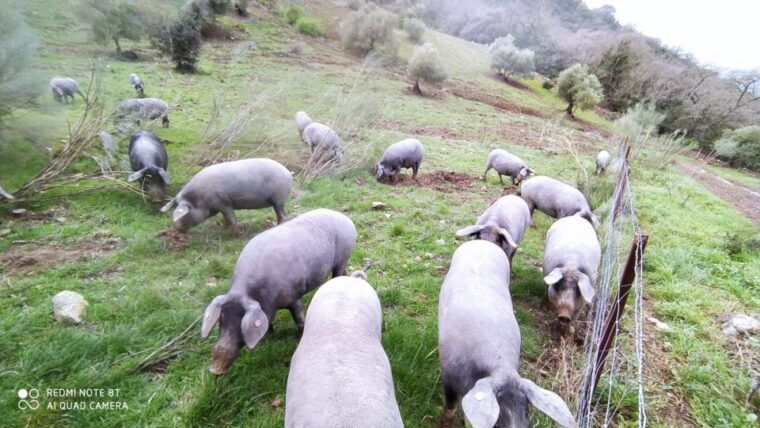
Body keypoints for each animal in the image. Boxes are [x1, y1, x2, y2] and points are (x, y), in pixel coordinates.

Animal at [160, 158, 292, 233]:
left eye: (183, 214)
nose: (175, 229)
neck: (201, 199)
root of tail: (288, 172)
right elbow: (226, 218)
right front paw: (224, 227)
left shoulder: (223, 202)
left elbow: (230, 216)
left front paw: (234, 231)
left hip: (278, 199)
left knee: (281, 214)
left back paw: (277, 226)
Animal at [200, 209, 357, 375]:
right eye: (221, 320)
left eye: (240, 324)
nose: (214, 369)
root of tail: (343, 217)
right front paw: (267, 337)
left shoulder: (293, 296)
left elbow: (299, 318)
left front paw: (299, 336)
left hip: (342, 256)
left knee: (338, 273)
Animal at [438, 240, 576, 428]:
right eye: (497, 422)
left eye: (526, 415)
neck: (500, 368)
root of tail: (484, 242)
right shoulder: (447, 374)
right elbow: (450, 405)